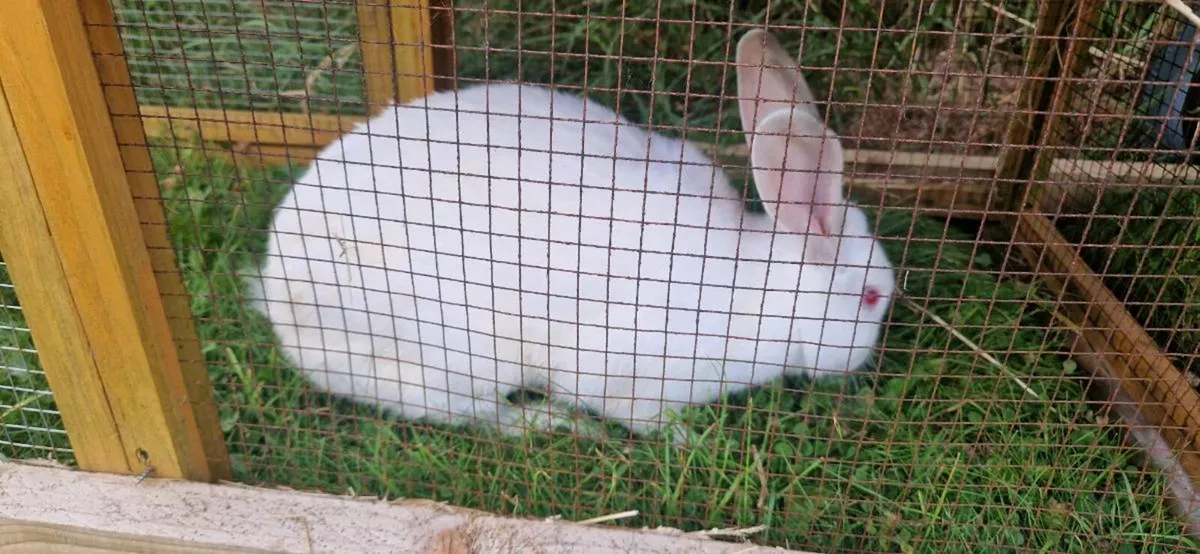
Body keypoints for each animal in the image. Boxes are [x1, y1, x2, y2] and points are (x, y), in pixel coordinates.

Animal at [244, 28, 893, 443]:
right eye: (869, 297)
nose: (870, 354)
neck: (755, 293)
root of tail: (278, 297)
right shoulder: (626, 375)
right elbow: (642, 417)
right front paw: (692, 439)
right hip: (447, 362)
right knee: (467, 414)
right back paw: (551, 423)